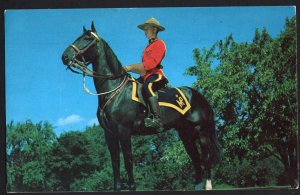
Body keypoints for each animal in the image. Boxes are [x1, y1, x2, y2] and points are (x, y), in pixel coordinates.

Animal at [61, 22, 220, 190]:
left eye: (87, 38)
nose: (64, 56)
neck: (114, 90)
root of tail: (198, 95)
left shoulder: (124, 132)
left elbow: (128, 161)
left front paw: (132, 187)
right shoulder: (109, 134)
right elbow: (115, 163)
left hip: (201, 131)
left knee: (205, 158)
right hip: (185, 134)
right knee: (195, 158)